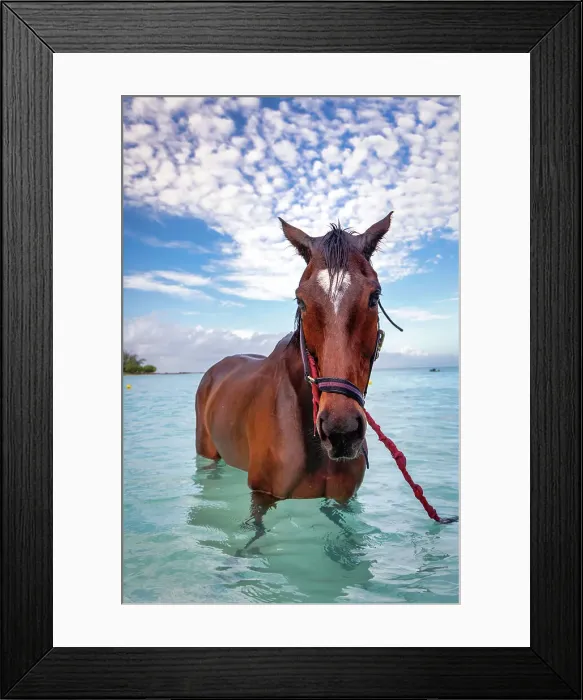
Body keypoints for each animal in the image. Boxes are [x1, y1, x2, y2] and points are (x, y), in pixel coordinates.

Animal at [195, 212, 394, 542]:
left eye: (374, 296)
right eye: (301, 300)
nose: (341, 431)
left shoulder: (341, 500)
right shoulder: (262, 496)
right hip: (207, 454)